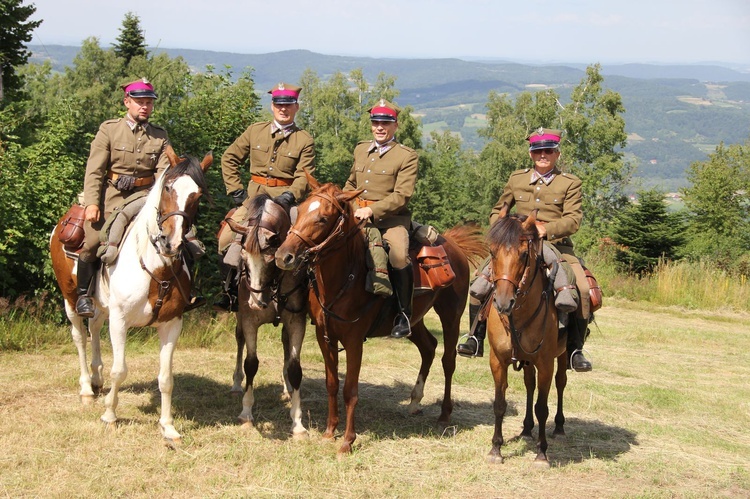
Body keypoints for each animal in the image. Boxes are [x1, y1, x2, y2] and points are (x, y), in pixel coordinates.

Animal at [49, 148, 214, 446]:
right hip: (69, 299)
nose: (171, 242)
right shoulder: (120, 321)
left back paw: (96, 378)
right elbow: (120, 370)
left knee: (94, 328)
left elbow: (166, 378)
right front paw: (110, 416)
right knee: (80, 336)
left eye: (196, 195)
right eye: (168, 187)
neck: (157, 269)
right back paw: (86, 388)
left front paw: (168, 427)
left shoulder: (172, 324)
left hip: (99, 306)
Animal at [276, 174, 488, 456]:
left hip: (451, 315)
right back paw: (414, 401)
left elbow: (350, 390)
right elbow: (332, 384)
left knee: (448, 360)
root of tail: (452, 243)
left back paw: (444, 414)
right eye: (298, 211)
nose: (283, 256)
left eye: (322, 218)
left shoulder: (354, 341)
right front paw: (330, 432)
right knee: (428, 347)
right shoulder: (325, 337)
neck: (346, 275)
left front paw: (347, 441)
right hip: (413, 320)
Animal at [484, 209, 568, 466]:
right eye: (492, 251)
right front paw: (496, 449)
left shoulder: (546, 363)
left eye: (523, 254)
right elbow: (499, 404)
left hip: (562, 357)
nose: (503, 302)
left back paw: (559, 427)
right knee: (529, 384)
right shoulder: (498, 361)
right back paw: (526, 428)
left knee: (561, 383)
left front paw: (542, 453)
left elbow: (543, 407)